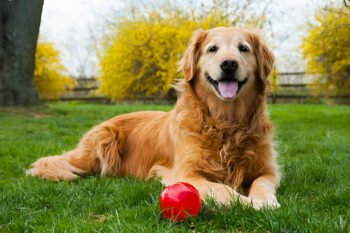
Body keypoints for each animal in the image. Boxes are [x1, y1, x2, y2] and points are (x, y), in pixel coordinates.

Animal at [27, 26, 280, 209]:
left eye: (243, 48)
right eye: (212, 49)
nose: (228, 63)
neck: (226, 123)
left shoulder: (269, 170)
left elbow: (262, 184)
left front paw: (264, 201)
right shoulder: (185, 173)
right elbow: (222, 189)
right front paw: (251, 204)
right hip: (103, 141)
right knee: (54, 162)